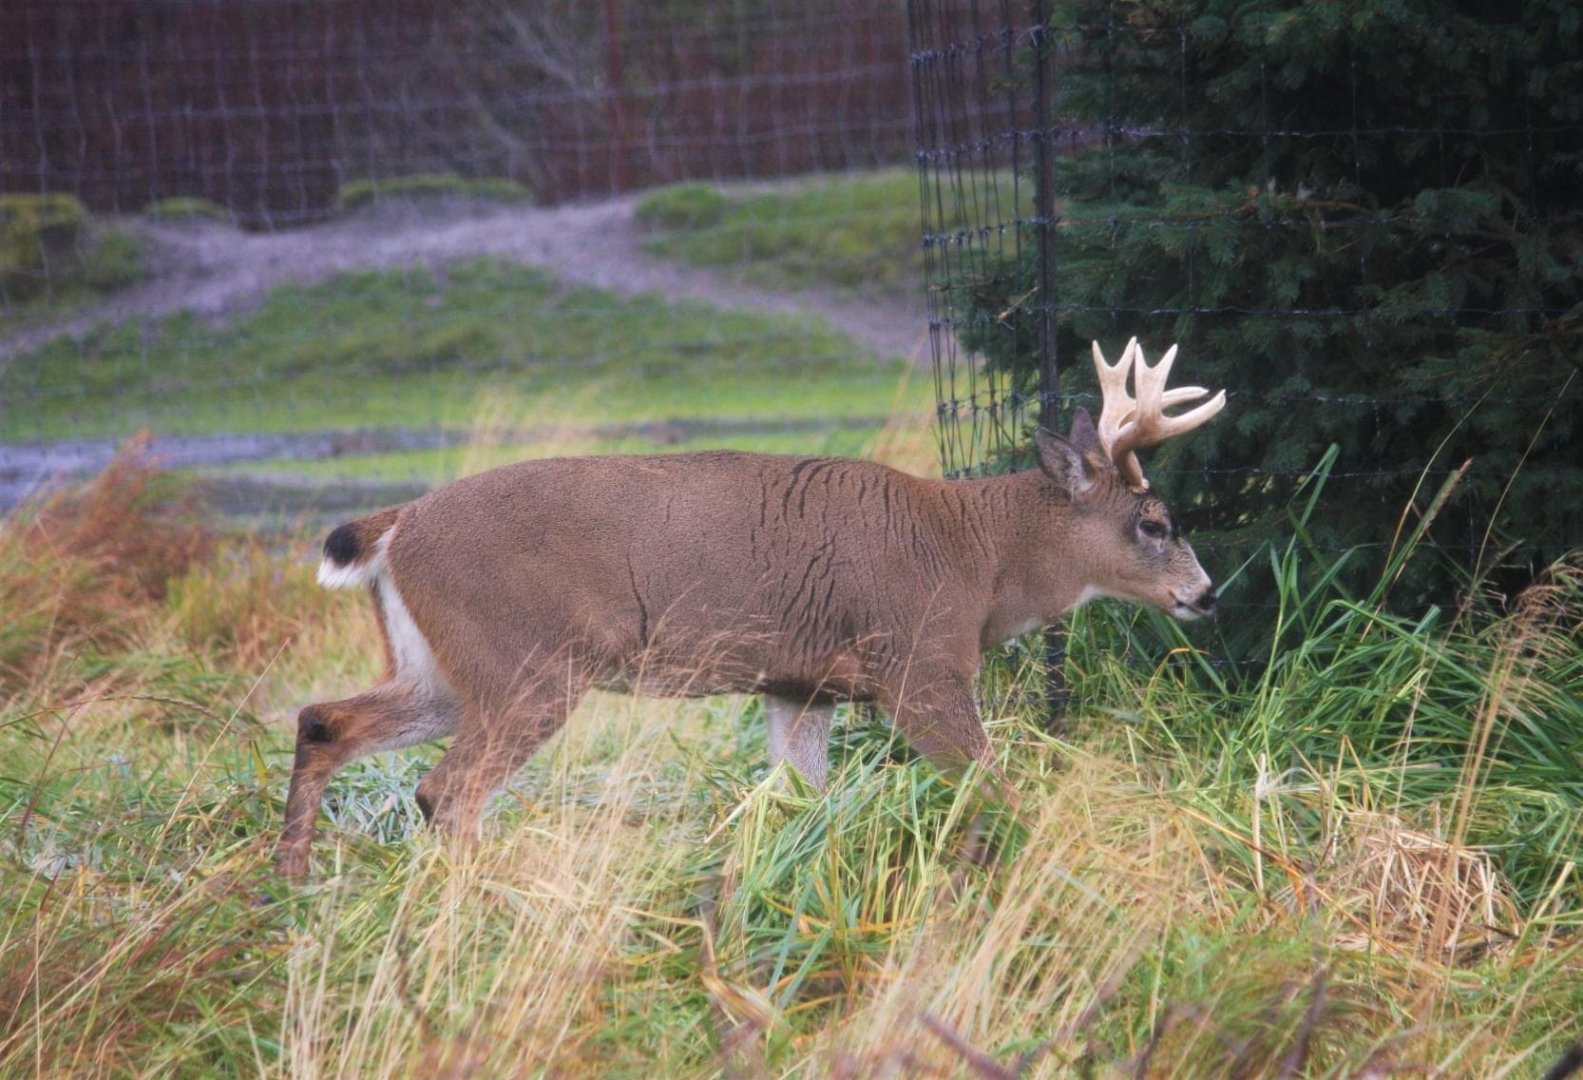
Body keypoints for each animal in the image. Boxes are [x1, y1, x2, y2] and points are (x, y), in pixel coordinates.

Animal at [275, 338, 1226, 880]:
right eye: (1154, 522)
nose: (1204, 594)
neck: (976, 557)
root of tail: (398, 526)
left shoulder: (798, 685)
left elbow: (800, 804)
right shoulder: (919, 660)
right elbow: (991, 789)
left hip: (445, 668)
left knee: (325, 719)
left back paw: (290, 881)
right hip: (529, 664)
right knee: (444, 790)